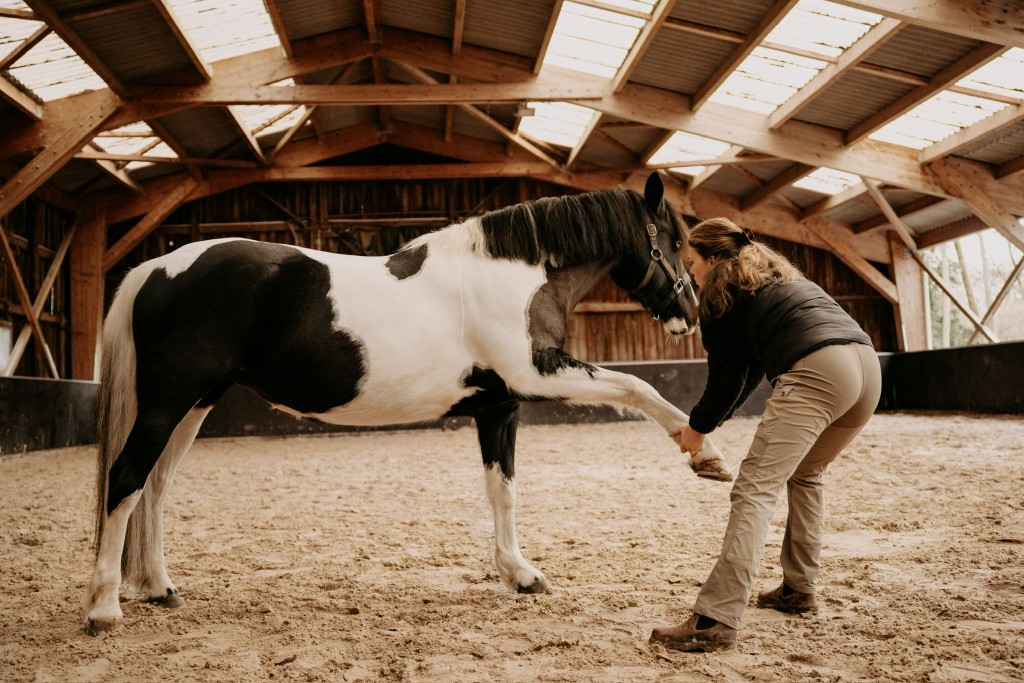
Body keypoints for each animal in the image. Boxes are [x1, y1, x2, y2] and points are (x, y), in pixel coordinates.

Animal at [84, 172, 720, 635]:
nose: (690, 317)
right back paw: (103, 609)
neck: (513, 277)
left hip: (193, 404)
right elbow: (638, 387)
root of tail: (155, 267)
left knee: (155, 488)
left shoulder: (499, 407)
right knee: (127, 479)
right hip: (168, 402)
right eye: (674, 241)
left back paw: (160, 589)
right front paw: (703, 453)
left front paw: (519, 574)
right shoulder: (536, 376)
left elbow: (503, 491)